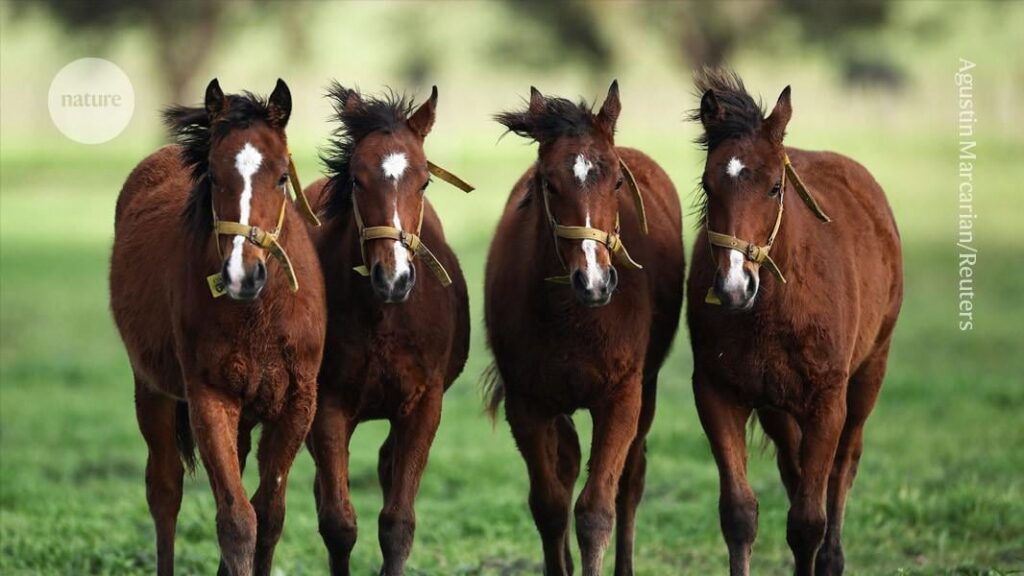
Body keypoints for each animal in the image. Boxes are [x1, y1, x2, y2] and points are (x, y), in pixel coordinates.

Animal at [109, 79, 325, 576]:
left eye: (281, 177)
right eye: (212, 174)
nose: (242, 274)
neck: (259, 316)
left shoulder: (297, 404)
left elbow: (269, 515)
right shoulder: (209, 397)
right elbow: (237, 519)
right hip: (152, 390)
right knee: (164, 489)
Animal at [301, 83, 470, 576]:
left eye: (425, 181)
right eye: (357, 179)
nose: (393, 278)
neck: (383, 318)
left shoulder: (423, 404)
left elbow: (397, 522)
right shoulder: (329, 405)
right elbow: (338, 521)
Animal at [484, 81, 685, 576]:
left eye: (616, 181)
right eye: (548, 183)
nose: (593, 280)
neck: (574, 318)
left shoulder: (620, 399)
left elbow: (596, 511)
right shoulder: (527, 405)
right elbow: (550, 505)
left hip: (646, 391)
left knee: (630, 481)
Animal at [685, 69, 903, 576]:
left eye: (774, 187)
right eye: (707, 185)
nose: (734, 286)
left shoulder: (827, 401)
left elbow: (807, 521)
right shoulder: (716, 392)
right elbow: (739, 514)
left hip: (869, 375)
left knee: (843, 467)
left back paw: (833, 558)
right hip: (777, 408)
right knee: (794, 469)